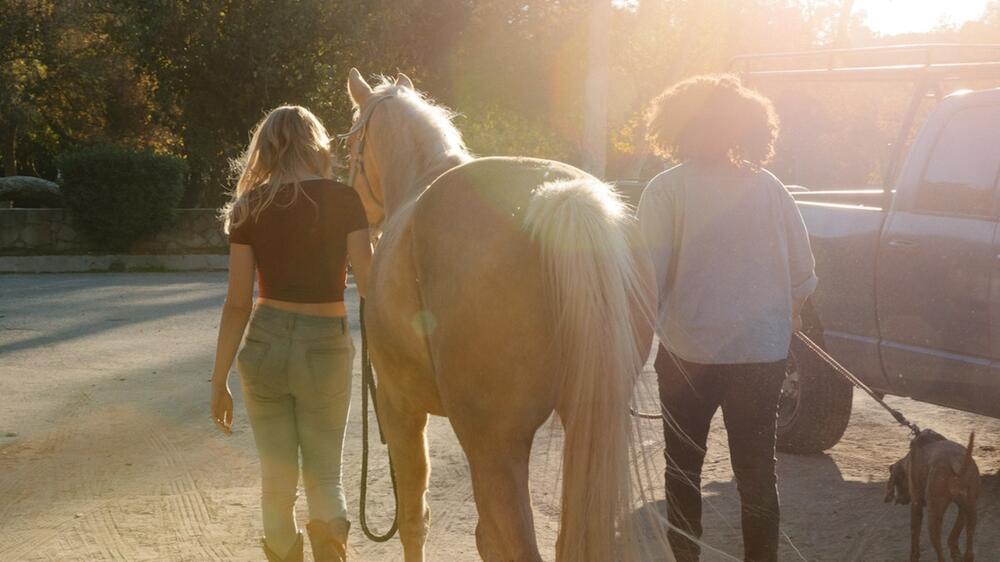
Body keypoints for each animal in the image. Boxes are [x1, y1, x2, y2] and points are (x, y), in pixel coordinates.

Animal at [346, 70, 664, 560]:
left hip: (494, 443)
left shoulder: (399, 406)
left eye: (348, 144)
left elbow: (414, 519)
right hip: (587, 421)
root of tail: (559, 198)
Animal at [888, 426, 980, 556]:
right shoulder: (964, 509)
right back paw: (958, 554)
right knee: (965, 549)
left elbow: (914, 540)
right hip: (970, 510)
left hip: (934, 516)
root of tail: (956, 464)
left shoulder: (916, 505)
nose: (899, 500)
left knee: (940, 550)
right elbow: (952, 538)